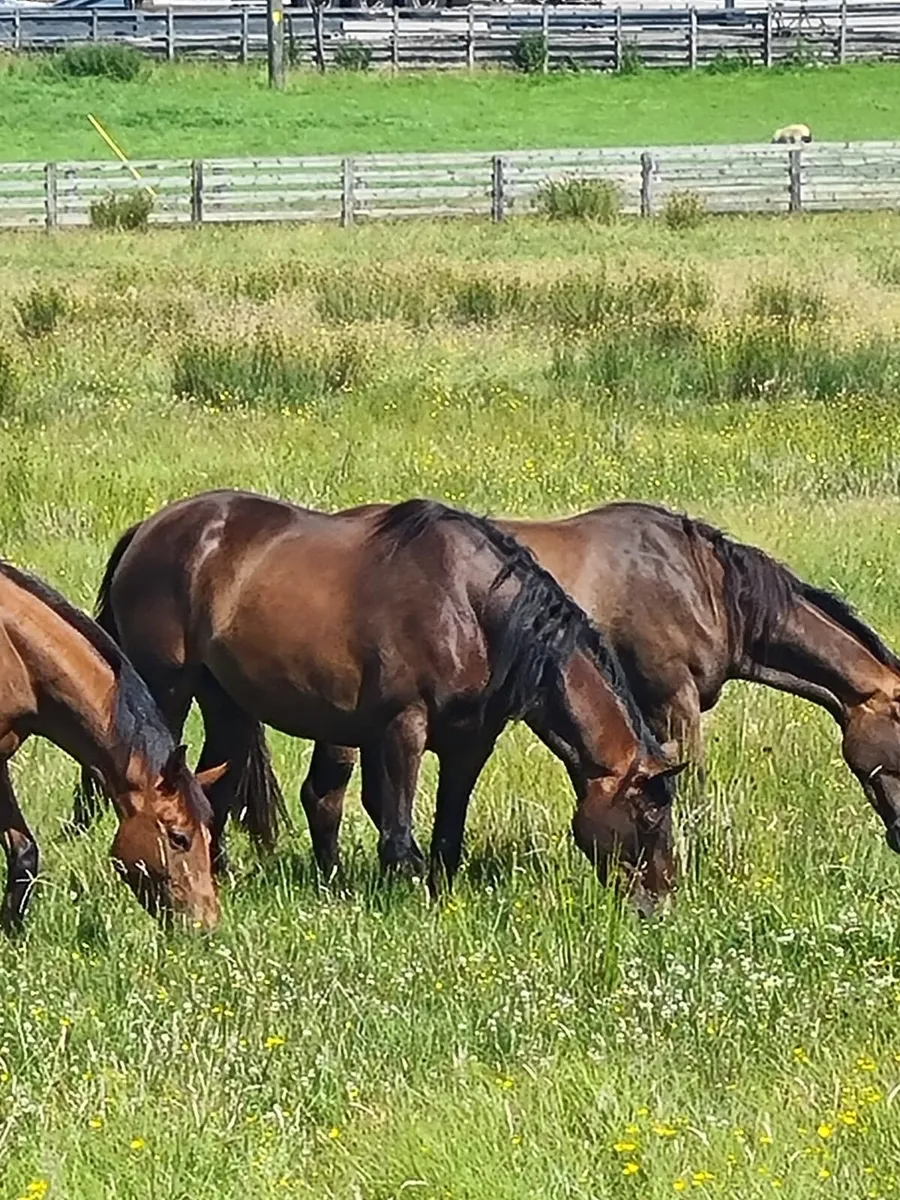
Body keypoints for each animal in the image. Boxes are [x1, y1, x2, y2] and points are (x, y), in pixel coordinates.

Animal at [73, 490, 685, 911]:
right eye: (649, 812)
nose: (657, 902)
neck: (471, 608)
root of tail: (149, 529)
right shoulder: (400, 729)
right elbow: (397, 831)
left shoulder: (470, 744)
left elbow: (447, 832)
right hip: (169, 687)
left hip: (223, 702)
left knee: (215, 792)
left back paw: (219, 876)